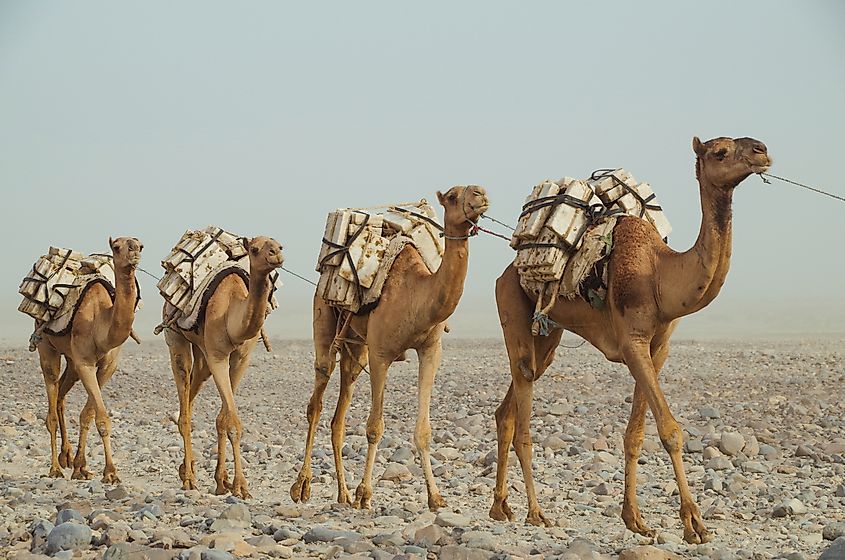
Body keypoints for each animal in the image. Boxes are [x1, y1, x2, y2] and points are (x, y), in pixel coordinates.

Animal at [37, 236, 143, 483]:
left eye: (140, 245)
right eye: (117, 247)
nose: (134, 252)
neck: (101, 321)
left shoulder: (107, 366)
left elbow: (87, 415)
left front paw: (81, 467)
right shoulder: (85, 363)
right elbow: (102, 418)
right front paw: (111, 472)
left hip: (71, 360)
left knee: (60, 396)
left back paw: (66, 457)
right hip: (47, 348)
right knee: (51, 405)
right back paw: (55, 468)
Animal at [165, 236, 283, 499]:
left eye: (279, 245)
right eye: (254, 249)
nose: (276, 255)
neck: (231, 311)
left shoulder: (241, 358)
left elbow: (224, 419)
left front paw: (223, 482)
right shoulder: (218, 356)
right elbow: (233, 423)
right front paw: (241, 486)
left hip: (202, 351)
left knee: (193, 391)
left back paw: (186, 468)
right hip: (176, 337)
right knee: (184, 395)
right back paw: (189, 478)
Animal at [290, 185, 490, 510]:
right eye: (452, 196)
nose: (480, 194)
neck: (416, 293)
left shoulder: (430, 350)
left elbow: (424, 430)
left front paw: (435, 497)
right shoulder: (381, 354)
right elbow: (374, 427)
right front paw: (365, 493)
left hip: (356, 347)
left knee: (339, 415)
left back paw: (343, 494)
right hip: (324, 317)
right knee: (317, 399)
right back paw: (302, 485)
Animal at [489, 136, 771, 544]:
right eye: (720, 151)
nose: (761, 150)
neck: (660, 275)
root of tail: (506, 271)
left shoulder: (657, 349)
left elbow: (636, 434)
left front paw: (635, 519)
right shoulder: (631, 343)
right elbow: (670, 431)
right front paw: (694, 523)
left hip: (548, 333)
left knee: (509, 405)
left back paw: (500, 507)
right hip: (511, 303)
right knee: (523, 403)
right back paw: (535, 513)